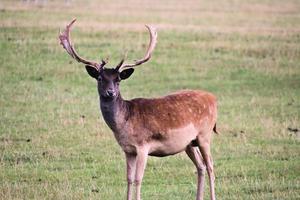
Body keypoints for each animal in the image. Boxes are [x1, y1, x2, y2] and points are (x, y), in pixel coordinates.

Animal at [58, 19, 218, 200]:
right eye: (99, 78)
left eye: (118, 79)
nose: (111, 92)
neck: (124, 125)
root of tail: (213, 99)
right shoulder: (128, 150)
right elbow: (128, 178)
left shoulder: (143, 146)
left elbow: (138, 179)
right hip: (189, 143)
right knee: (200, 166)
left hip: (205, 135)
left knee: (211, 166)